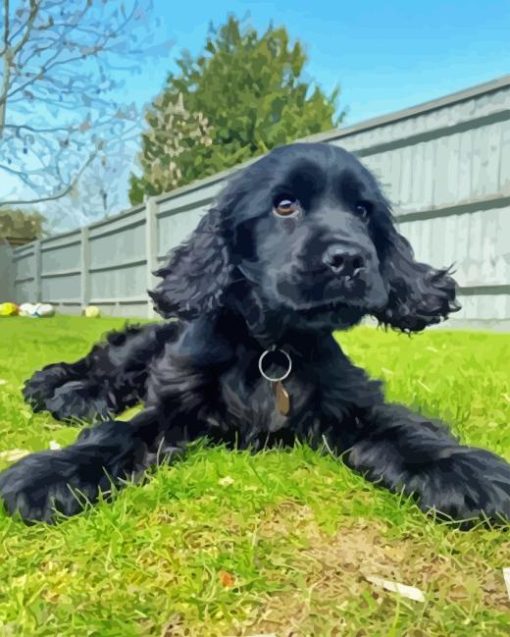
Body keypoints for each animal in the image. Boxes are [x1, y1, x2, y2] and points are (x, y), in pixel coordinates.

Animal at [0, 144, 510, 528]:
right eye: (285, 205)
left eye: (364, 211)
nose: (350, 260)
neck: (272, 347)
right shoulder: (174, 403)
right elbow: (120, 431)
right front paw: (51, 474)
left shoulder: (351, 403)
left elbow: (401, 428)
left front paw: (463, 469)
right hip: (143, 344)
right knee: (100, 365)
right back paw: (64, 390)